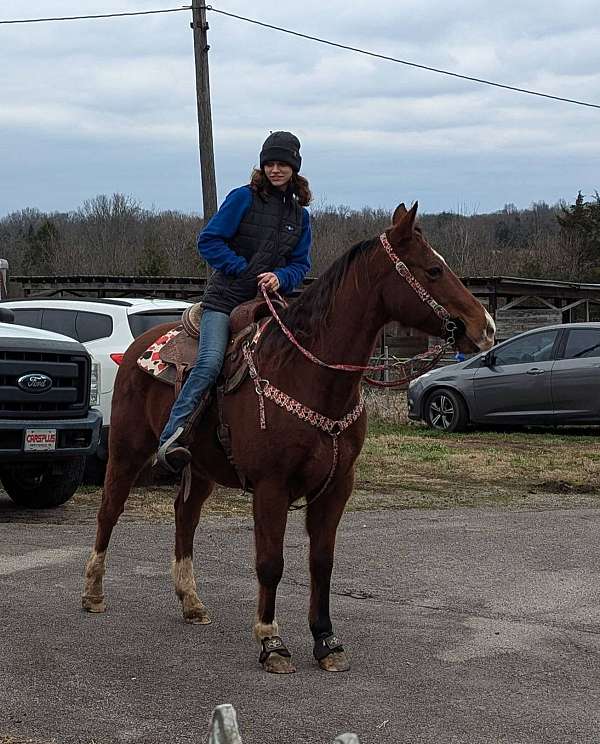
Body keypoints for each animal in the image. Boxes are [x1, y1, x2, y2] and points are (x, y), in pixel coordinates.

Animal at [84, 202, 496, 676]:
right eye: (432, 270)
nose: (485, 327)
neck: (309, 375)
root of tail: (141, 346)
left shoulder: (337, 487)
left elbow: (322, 562)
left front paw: (326, 641)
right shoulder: (271, 486)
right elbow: (270, 563)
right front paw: (272, 642)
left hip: (200, 468)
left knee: (184, 517)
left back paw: (191, 603)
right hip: (127, 450)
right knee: (109, 510)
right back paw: (93, 593)